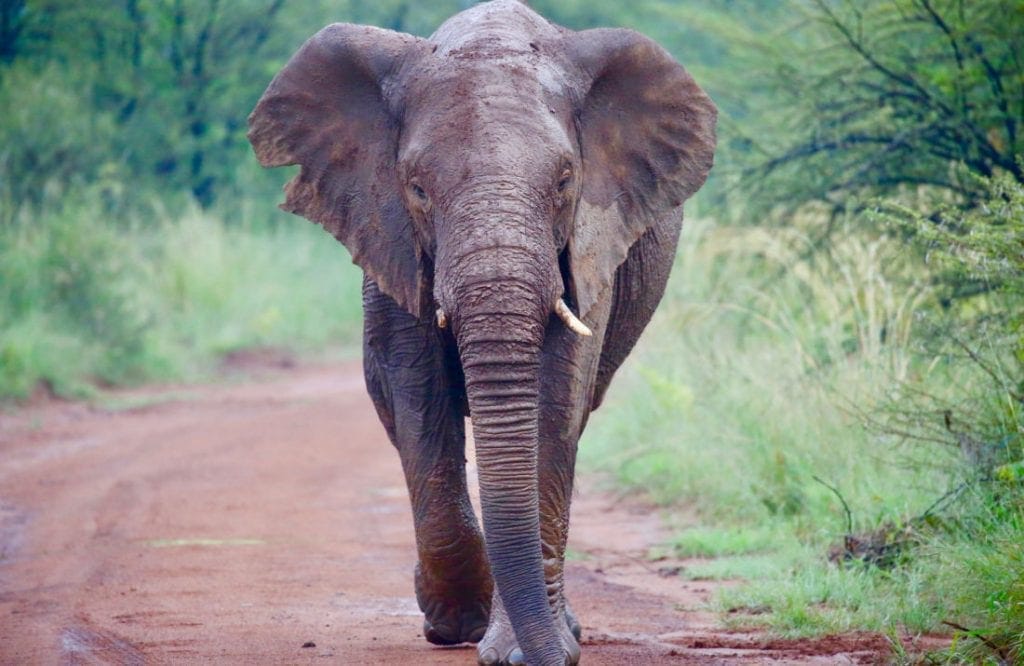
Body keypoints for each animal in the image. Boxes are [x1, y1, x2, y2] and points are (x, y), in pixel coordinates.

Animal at [247, 1, 715, 664]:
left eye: (565, 181)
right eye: (417, 188)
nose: (559, 659)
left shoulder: (590, 242)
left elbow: (556, 396)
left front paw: (520, 649)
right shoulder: (390, 235)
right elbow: (414, 390)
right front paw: (458, 623)